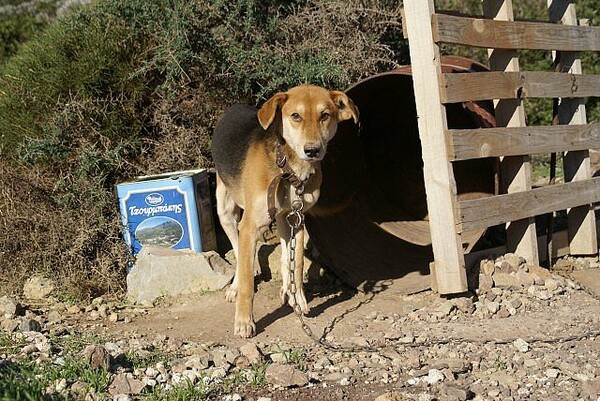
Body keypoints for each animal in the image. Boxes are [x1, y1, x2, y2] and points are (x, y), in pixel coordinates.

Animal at [213, 85, 358, 338]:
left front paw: (297, 298)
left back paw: (286, 291)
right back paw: (235, 288)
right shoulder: (249, 226)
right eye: (295, 116)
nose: (312, 150)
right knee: (238, 251)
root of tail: (234, 107)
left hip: (282, 218)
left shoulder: (297, 219)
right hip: (226, 211)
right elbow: (248, 281)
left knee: (282, 257)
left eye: (325, 115)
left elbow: (296, 264)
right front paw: (244, 321)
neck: (289, 169)